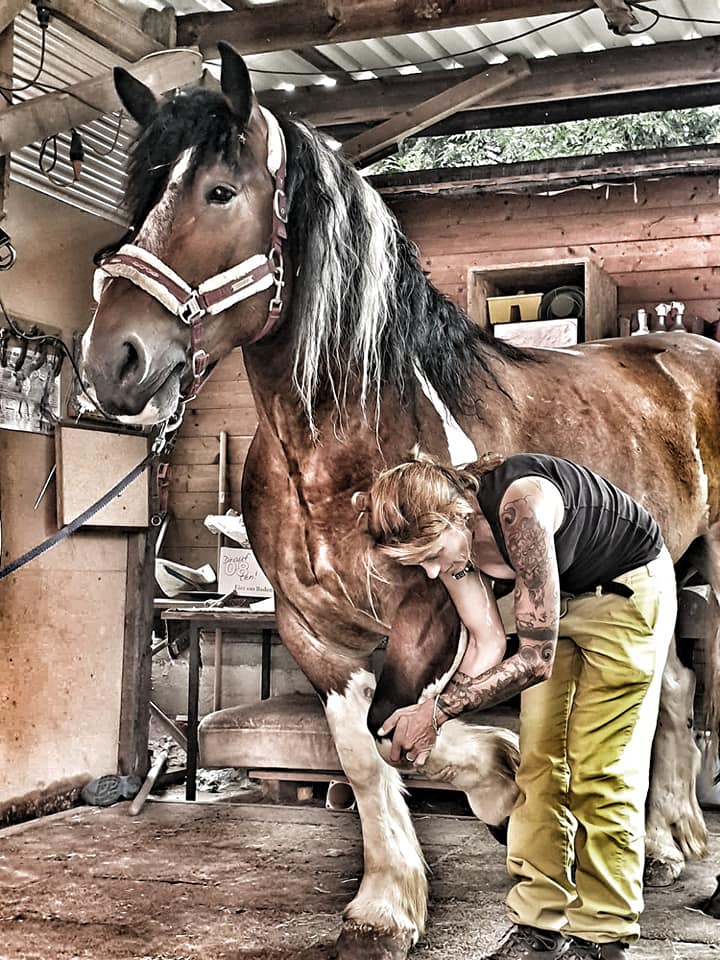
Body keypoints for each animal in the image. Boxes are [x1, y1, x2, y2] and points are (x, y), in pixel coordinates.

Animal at [80, 44, 720, 960]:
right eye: (139, 198)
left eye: (220, 192)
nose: (113, 361)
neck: (343, 450)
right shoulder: (313, 628)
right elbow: (363, 747)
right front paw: (389, 902)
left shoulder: (431, 612)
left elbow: (402, 723)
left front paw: (497, 787)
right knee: (668, 687)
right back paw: (666, 842)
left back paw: (663, 838)